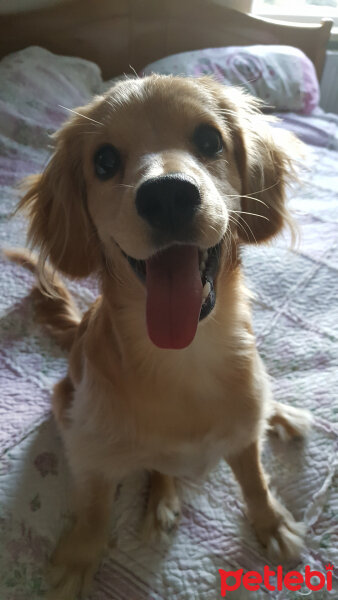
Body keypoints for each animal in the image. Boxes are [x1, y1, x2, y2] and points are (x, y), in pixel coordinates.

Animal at [7, 76, 312, 600]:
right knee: (157, 465)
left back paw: (281, 414)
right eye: (104, 161)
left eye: (209, 140)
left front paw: (271, 523)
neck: (182, 359)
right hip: (64, 399)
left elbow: (254, 478)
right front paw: (79, 558)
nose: (167, 196)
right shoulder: (88, 450)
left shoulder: (242, 430)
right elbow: (94, 507)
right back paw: (162, 499)